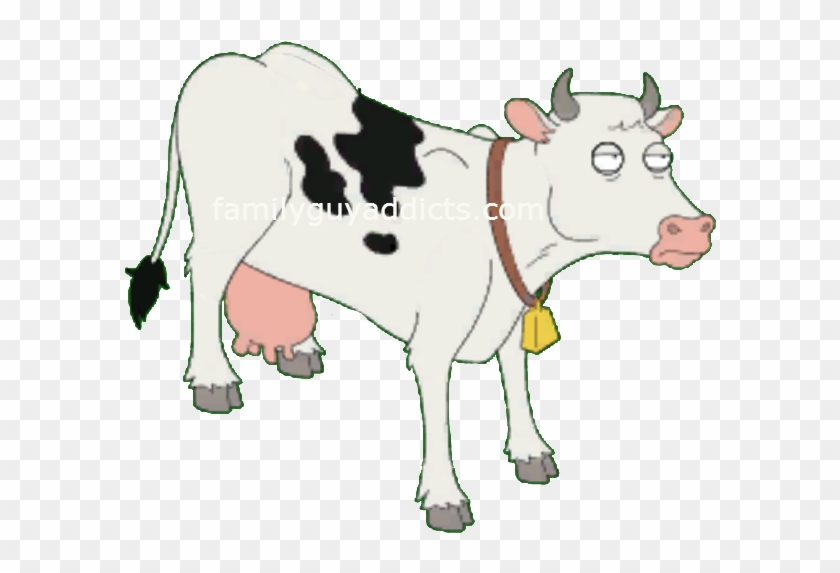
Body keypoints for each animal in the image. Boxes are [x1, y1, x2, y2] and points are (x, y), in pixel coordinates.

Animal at [125, 43, 716, 533]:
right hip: (227, 218)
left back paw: (295, 348)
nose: (690, 228)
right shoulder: (434, 335)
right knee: (206, 270)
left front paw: (530, 451)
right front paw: (444, 497)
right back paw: (212, 378)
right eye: (605, 157)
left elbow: (515, 373)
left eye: (662, 158)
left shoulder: (508, 314)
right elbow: (439, 406)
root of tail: (237, 63)